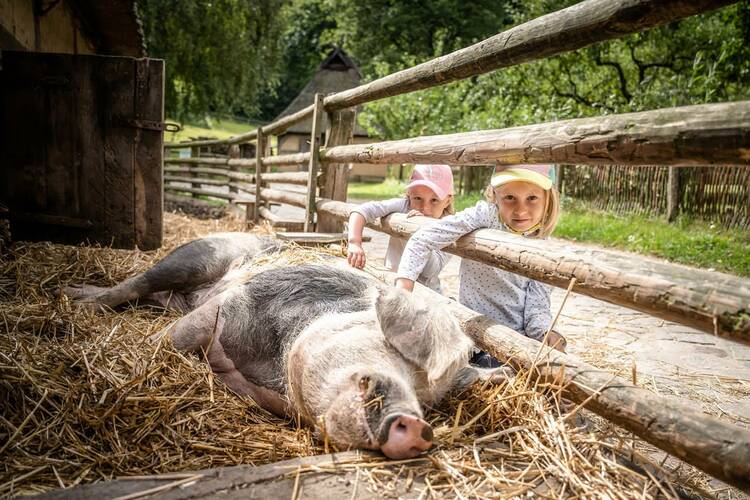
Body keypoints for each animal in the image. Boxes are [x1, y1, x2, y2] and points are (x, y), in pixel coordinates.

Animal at [64, 232, 516, 458]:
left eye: (429, 400)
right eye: (399, 355)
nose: (420, 428)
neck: (272, 369)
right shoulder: (230, 306)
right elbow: (173, 340)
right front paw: (148, 348)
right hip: (195, 256)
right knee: (137, 281)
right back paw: (74, 297)